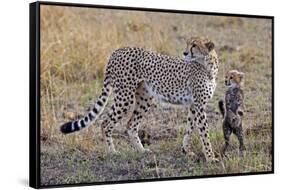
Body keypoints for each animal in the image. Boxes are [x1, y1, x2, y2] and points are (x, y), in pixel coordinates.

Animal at [60, 36, 219, 162]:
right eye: (188, 44)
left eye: (194, 45)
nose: (185, 53)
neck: (208, 65)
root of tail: (117, 51)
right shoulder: (199, 105)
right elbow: (204, 133)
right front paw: (211, 158)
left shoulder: (194, 105)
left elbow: (189, 129)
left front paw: (186, 151)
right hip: (125, 96)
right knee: (105, 122)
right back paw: (112, 152)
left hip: (145, 98)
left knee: (131, 125)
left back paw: (141, 150)